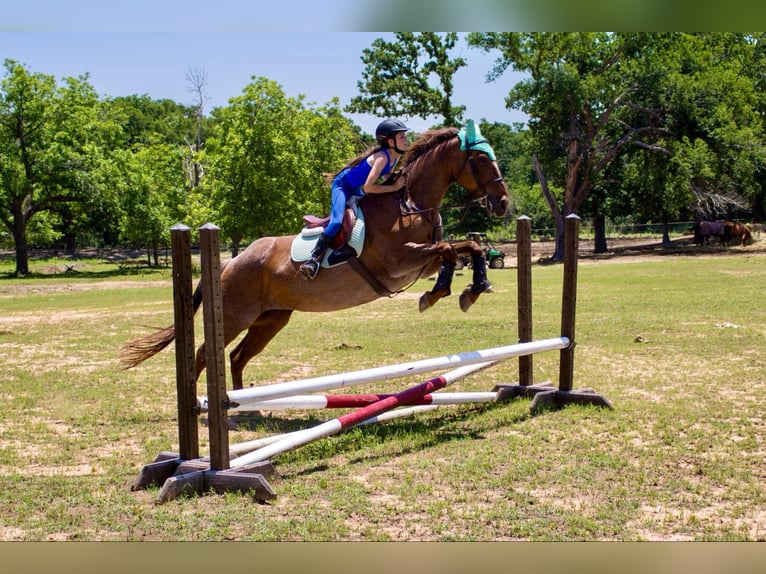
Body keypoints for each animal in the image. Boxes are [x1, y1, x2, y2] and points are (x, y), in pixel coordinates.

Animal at [120, 121, 510, 392]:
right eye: (480, 158)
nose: (503, 203)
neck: (409, 203)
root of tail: (229, 263)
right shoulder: (398, 264)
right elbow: (450, 249)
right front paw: (448, 292)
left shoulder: (420, 263)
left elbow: (464, 249)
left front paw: (468, 290)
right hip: (234, 315)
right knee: (206, 354)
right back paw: (205, 407)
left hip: (271, 319)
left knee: (237, 356)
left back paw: (242, 406)